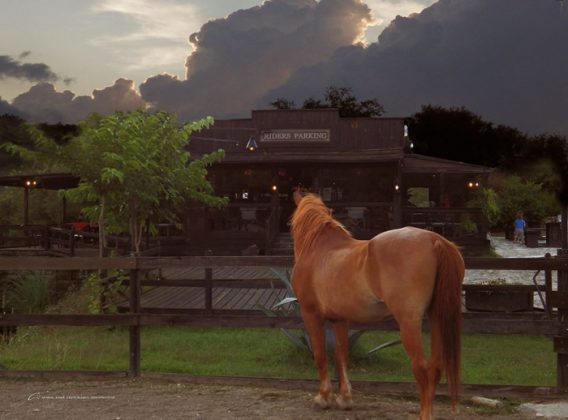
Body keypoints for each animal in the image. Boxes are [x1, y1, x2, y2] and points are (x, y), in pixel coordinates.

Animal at [290, 191, 464, 420]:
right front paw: (345, 399)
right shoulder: (340, 319)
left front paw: (323, 398)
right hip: (436, 317)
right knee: (435, 367)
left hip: (409, 323)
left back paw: (424, 414)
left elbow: (320, 355)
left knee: (421, 368)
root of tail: (434, 239)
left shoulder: (310, 314)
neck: (319, 249)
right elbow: (341, 356)